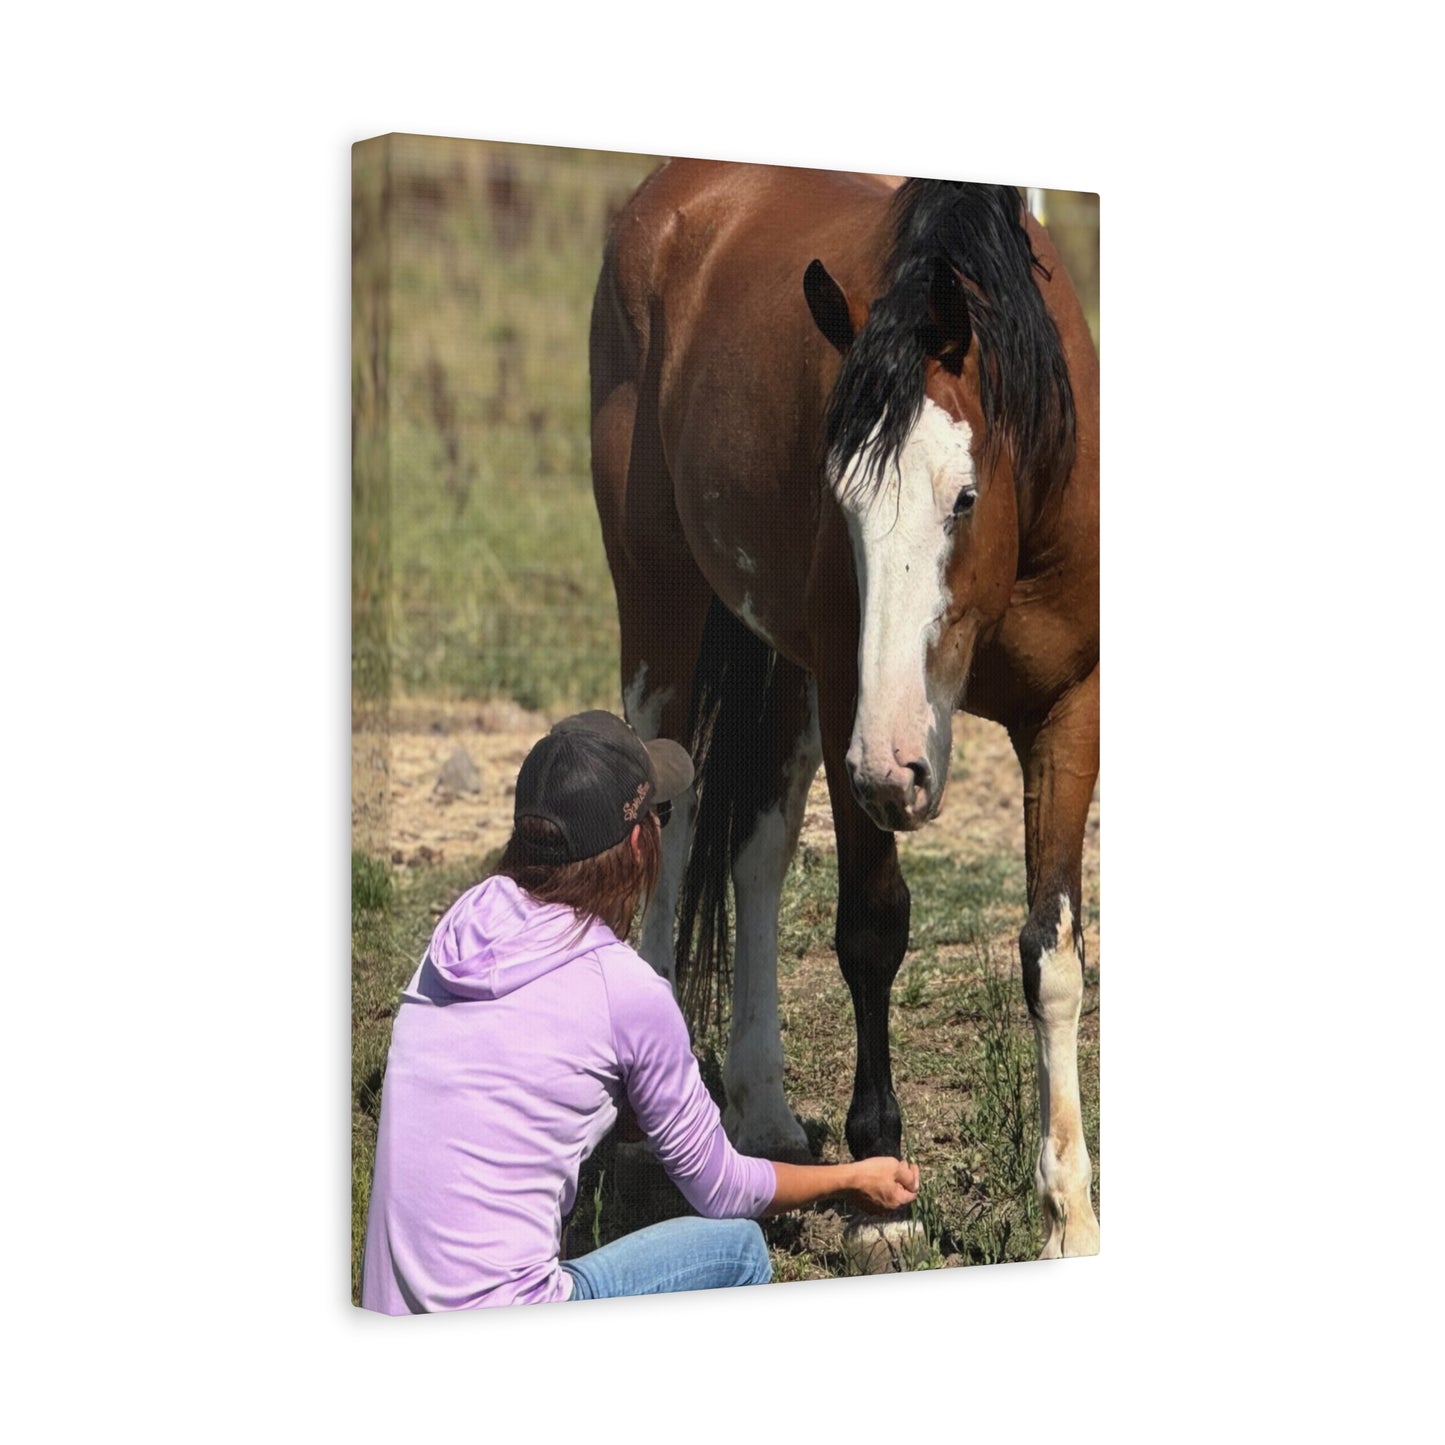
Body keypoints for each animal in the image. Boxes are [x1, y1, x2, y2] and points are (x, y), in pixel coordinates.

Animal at [588, 160, 1099, 1258]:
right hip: (662, 606)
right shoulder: (844, 699)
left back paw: (764, 1112)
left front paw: (1068, 1215)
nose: (893, 765)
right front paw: (881, 1201)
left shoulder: (1068, 711)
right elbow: (870, 929)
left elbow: (1050, 955)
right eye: (843, 498)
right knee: (667, 825)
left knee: (756, 855)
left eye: (962, 495)